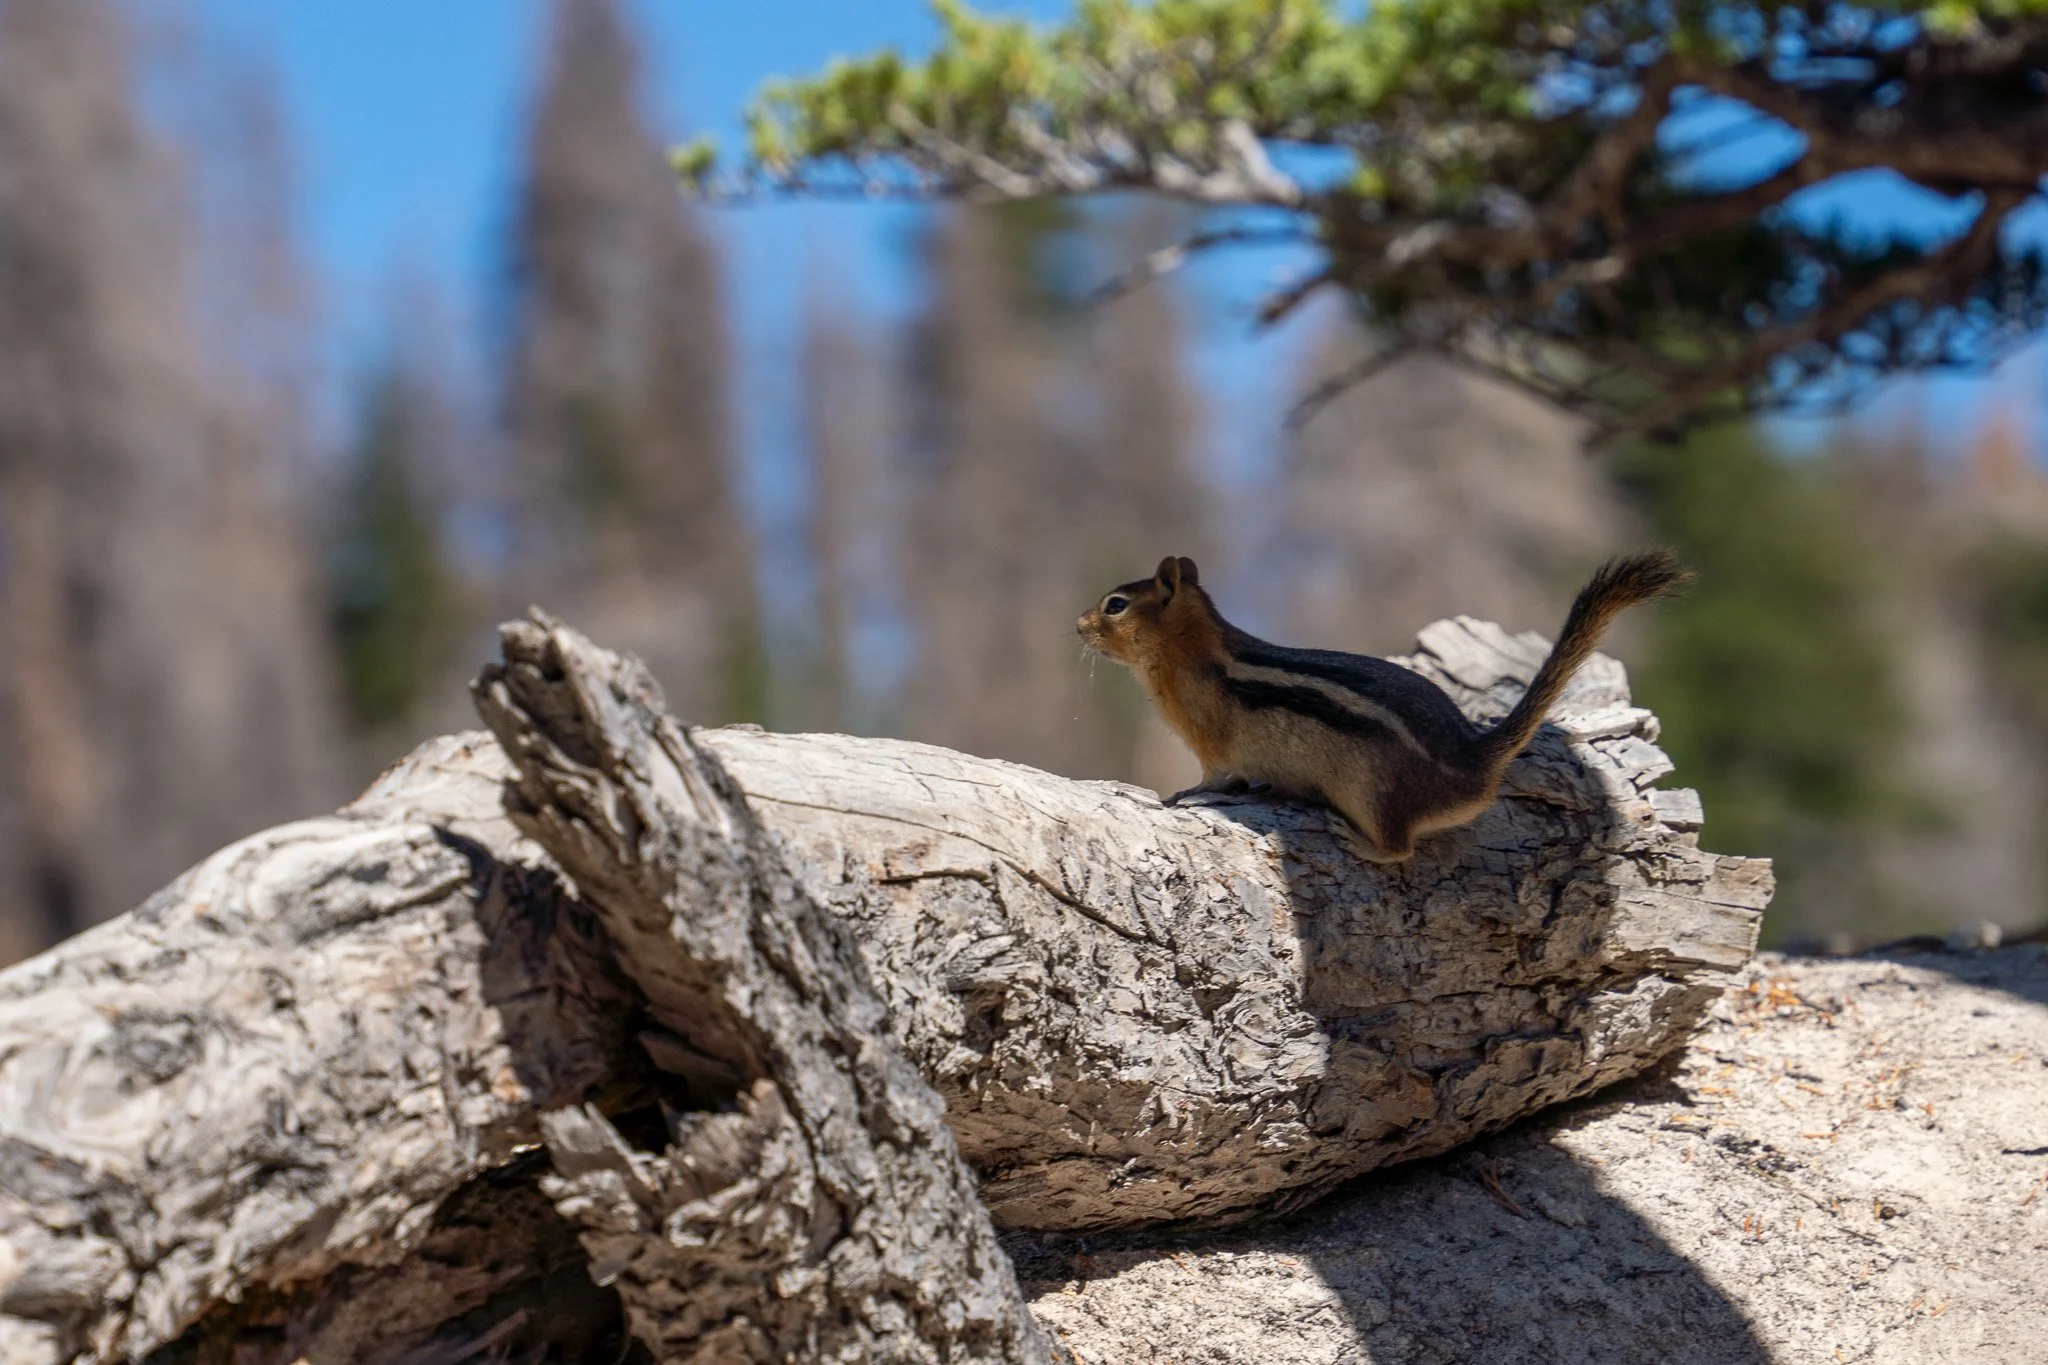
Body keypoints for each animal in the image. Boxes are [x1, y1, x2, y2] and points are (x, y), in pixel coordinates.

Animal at [1075, 550, 1691, 862]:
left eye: (1115, 604)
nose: (1077, 624)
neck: (1193, 651)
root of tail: (1473, 762)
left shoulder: (1211, 744)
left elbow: (1215, 778)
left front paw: (1182, 795)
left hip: (1373, 794)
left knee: (1401, 851)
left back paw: (1361, 845)